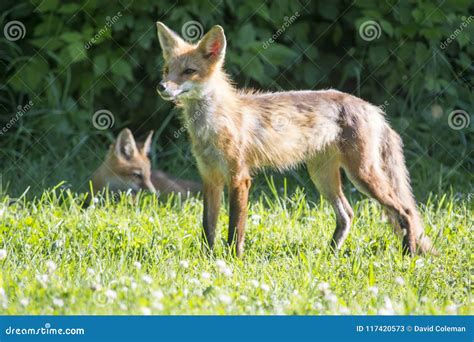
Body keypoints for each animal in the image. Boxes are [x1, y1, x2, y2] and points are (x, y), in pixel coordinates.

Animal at [156, 22, 436, 256]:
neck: (212, 127)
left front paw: (234, 259)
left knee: (405, 211)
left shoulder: (239, 178)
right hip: (323, 176)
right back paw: (329, 255)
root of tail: (372, 108)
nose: (161, 87)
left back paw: (408, 254)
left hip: (362, 175)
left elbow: (235, 228)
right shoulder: (210, 179)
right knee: (347, 214)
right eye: (167, 70)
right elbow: (208, 227)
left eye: (189, 71)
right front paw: (206, 259)